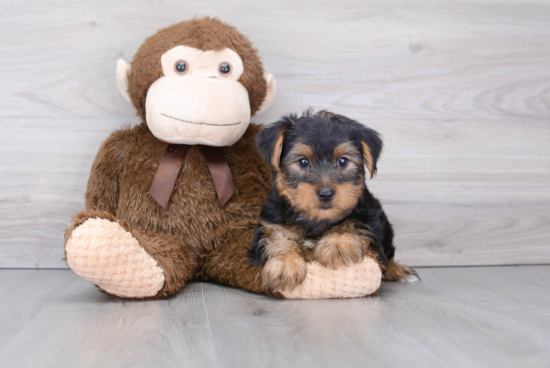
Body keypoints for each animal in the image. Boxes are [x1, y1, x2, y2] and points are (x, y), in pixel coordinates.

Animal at [250, 109, 418, 294]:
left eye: (342, 161)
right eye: (303, 162)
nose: (325, 194)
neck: (317, 220)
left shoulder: (370, 218)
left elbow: (354, 222)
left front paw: (338, 243)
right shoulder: (272, 221)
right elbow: (274, 237)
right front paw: (285, 264)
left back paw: (399, 270)